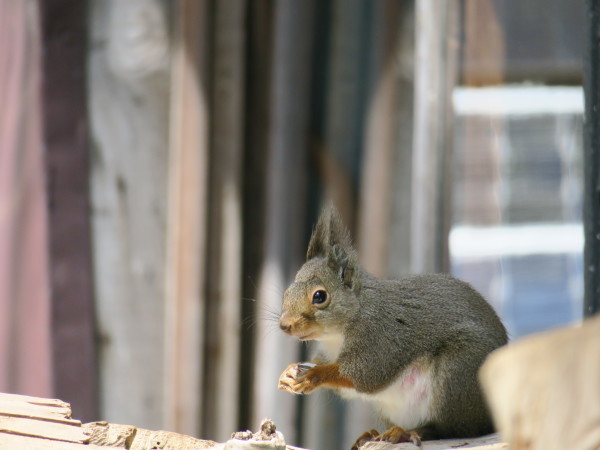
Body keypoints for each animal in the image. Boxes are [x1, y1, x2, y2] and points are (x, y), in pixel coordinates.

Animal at [276, 206, 506, 448]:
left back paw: (409, 432)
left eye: (320, 296)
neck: (337, 334)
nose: (284, 325)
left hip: (457, 375)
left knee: (454, 428)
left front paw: (314, 375)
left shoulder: (379, 337)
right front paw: (288, 372)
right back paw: (371, 435)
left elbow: (364, 374)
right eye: (286, 292)